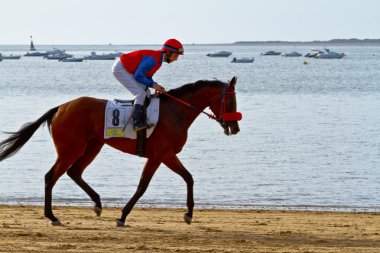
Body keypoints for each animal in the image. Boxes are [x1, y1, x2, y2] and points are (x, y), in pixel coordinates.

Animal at [0, 76, 242, 226]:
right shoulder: (165, 154)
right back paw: (52, 216)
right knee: (51, 176)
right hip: (70, 148)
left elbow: (143, 185)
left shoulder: (156, 157)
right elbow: (187, 178)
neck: (177, 111)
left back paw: (97, 204)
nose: (235, 128)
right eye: (231, 101)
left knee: (74, 172)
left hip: (92, 146)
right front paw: (189, 214)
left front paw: (123, 216)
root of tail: (60, 107)